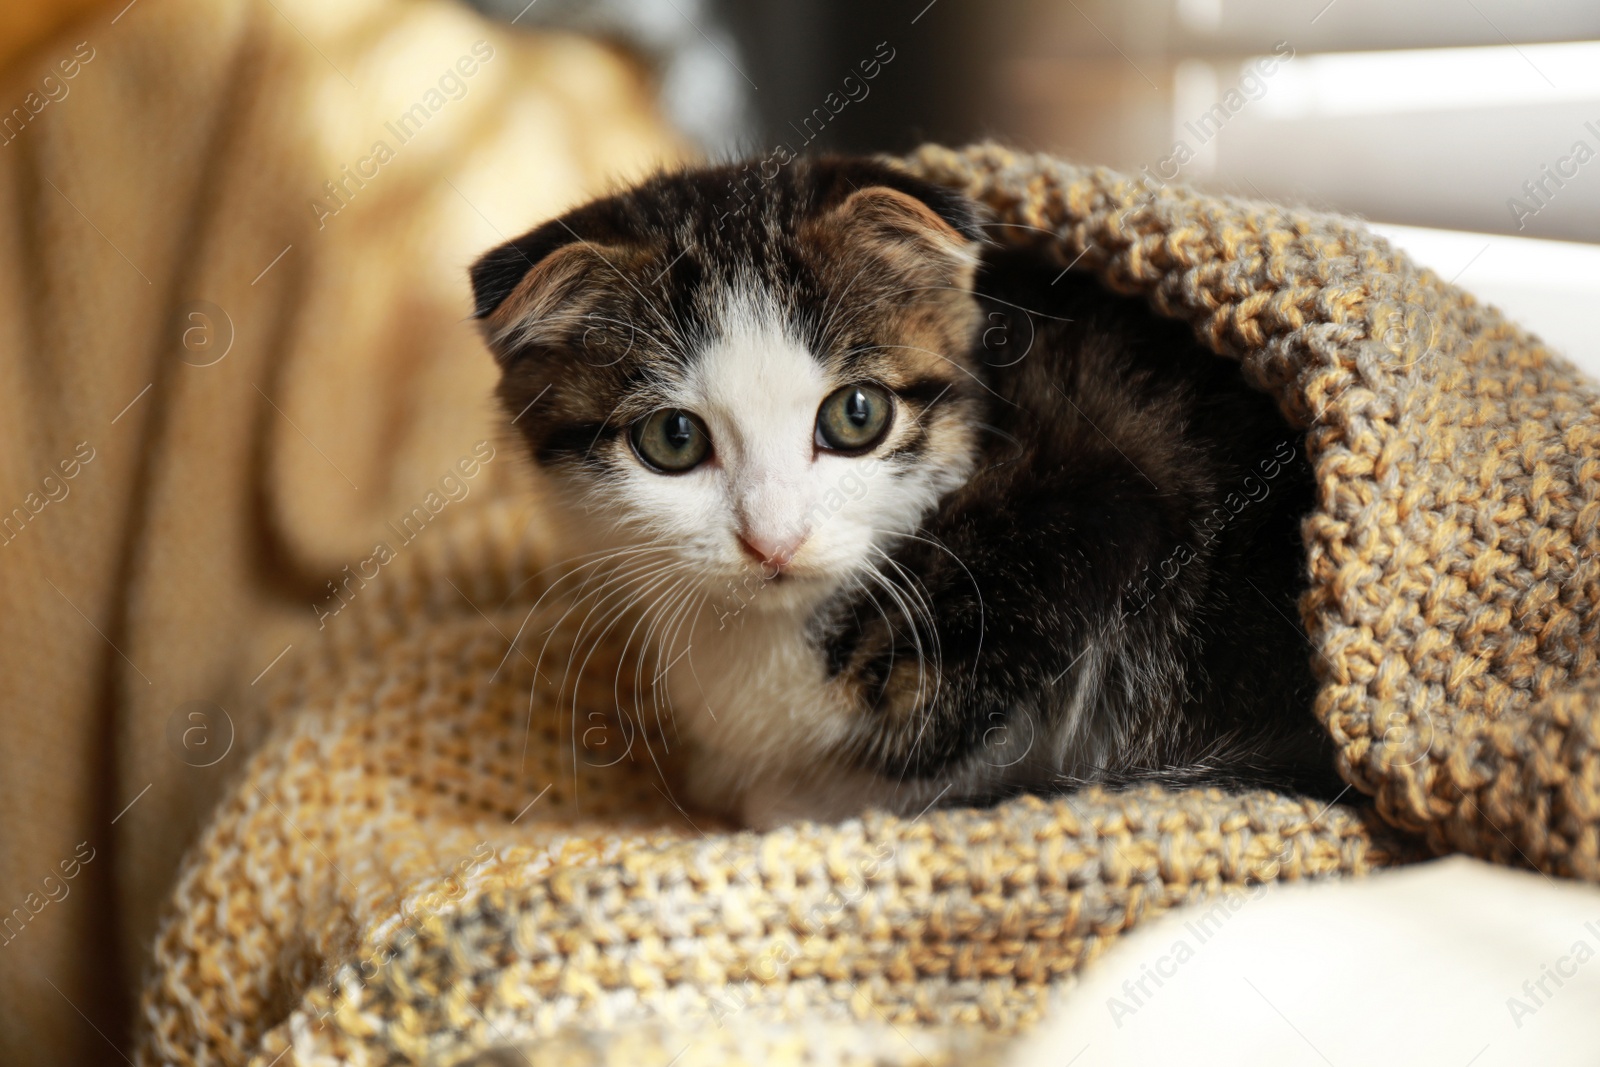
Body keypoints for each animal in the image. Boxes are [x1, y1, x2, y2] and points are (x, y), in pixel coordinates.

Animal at [467, 156, 1337, 825]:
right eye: (673, 439)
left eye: (857, 415)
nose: (773, 541)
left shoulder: (1106, 516)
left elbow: (956, 732)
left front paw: (795, 794)